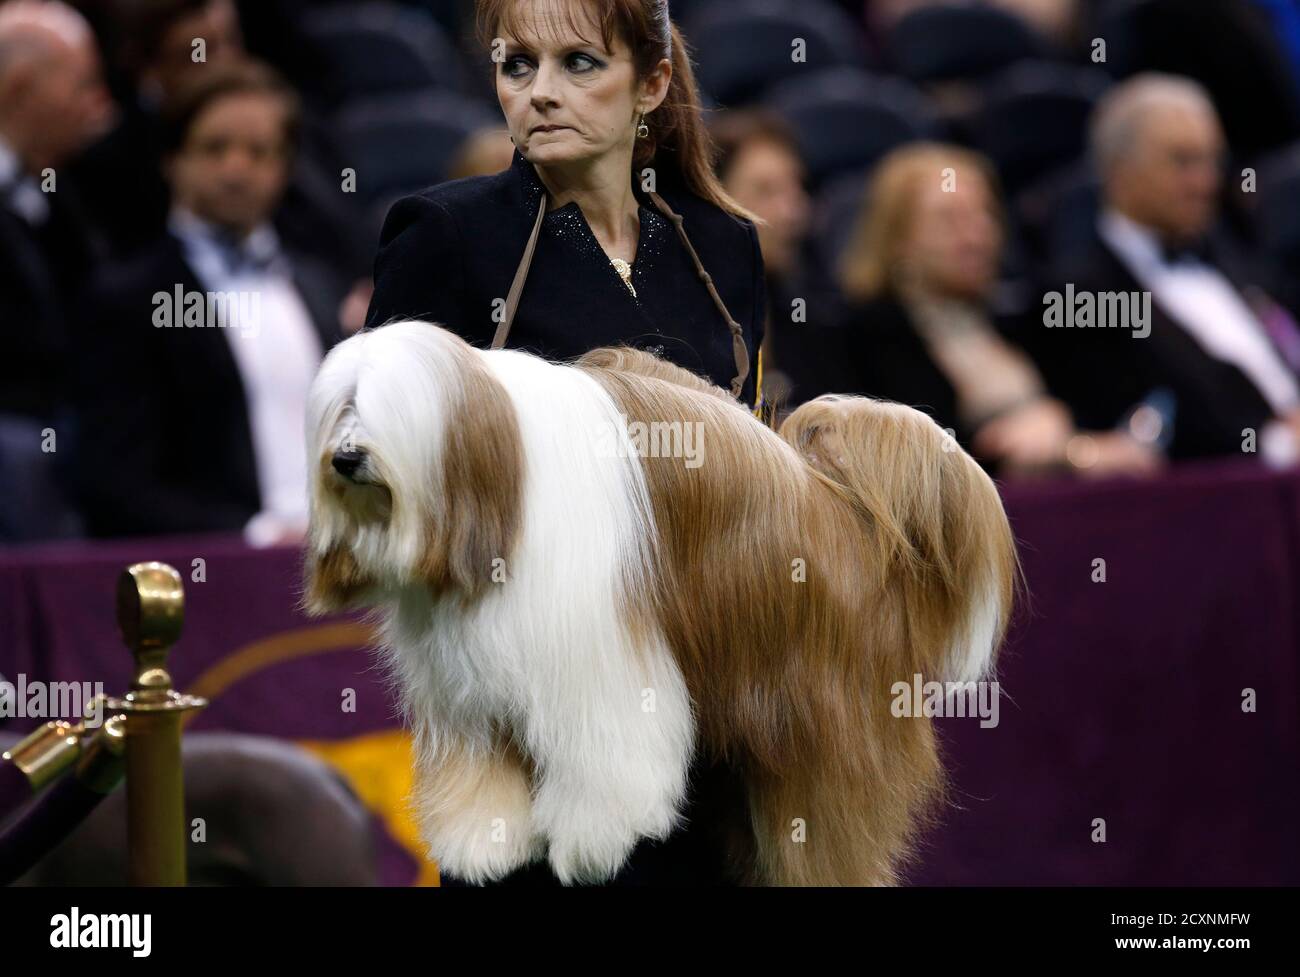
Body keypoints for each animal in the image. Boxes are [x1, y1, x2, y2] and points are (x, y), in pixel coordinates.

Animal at [301, 318, 1013, 883]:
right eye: (344, 406)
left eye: (390, 412)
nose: (346, 458)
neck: (502, 480)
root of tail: (840, 499)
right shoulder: (465, 679)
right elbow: (481, 766)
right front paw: (482, 844)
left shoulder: (598, 666)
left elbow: (606, 759)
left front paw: (589, 845)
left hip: (823, 717)